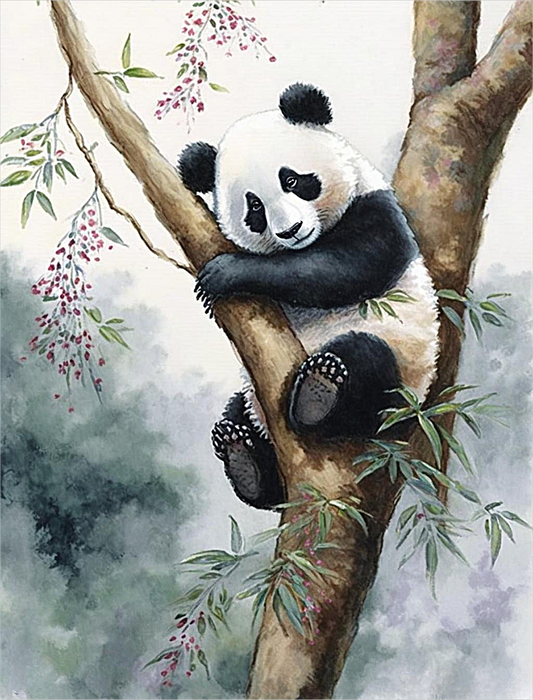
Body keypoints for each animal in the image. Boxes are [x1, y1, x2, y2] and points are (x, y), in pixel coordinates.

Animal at [178, 83, 439, 510]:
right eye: (254, 206)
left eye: (293, 180)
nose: (291, 230)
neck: (309, 242)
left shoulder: (375, 209)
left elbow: (347, 267)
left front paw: (227, 273)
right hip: (251, 400)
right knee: (246, 430)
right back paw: (244, 461)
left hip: (403, 381)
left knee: (366, 361)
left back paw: (319, 392)